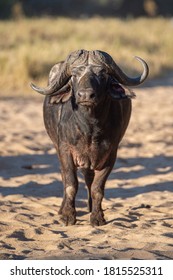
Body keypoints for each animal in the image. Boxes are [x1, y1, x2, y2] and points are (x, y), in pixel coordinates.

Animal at [30, 49, 149, 225]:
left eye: (102, 74)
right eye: (74, 74)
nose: (86, 95)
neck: (89, 128)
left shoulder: (110, 155)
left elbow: (97, 188)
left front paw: (97, 216)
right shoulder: (65, 151)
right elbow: (71, 184)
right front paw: (68, 216)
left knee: (89, 179)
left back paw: (91, 207)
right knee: (66, 177)